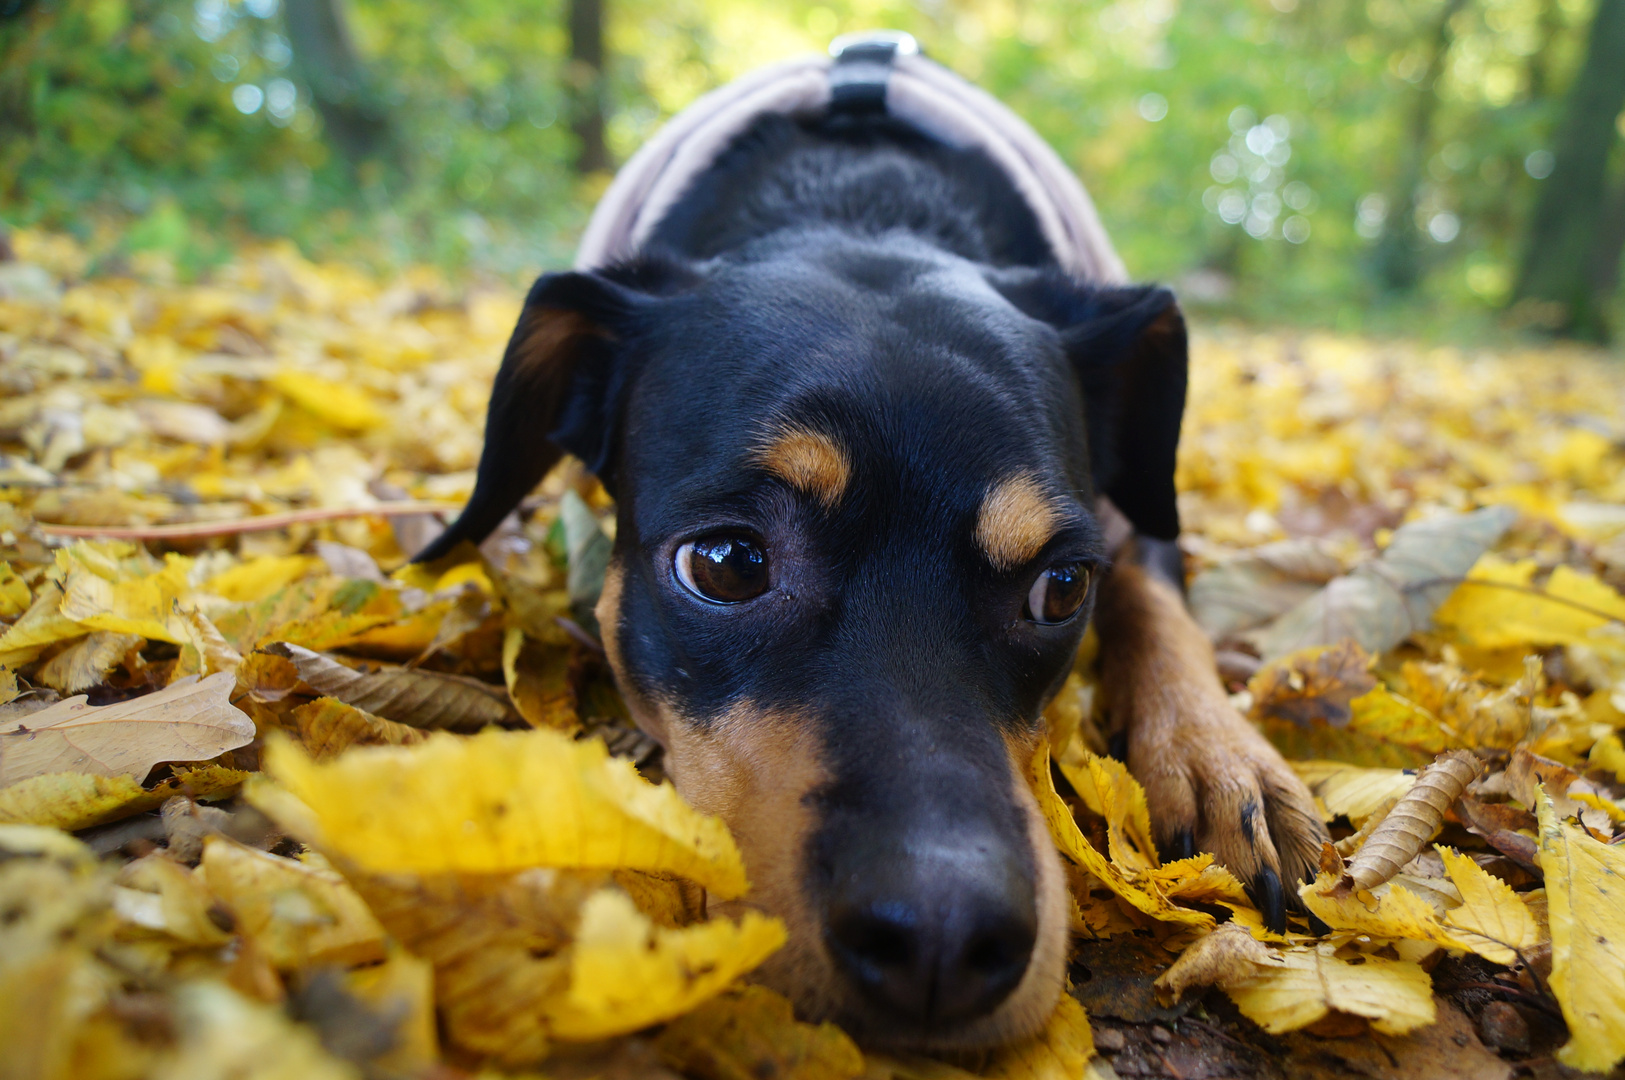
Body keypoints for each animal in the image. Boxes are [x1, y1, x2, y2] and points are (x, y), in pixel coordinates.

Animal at [422, 44, 1332, 1052]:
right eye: (725, 564)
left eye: (1061, 587)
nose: (942, 940)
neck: (863, 204)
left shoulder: (1140, 517)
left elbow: (1160, 604)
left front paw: (1221, 761)